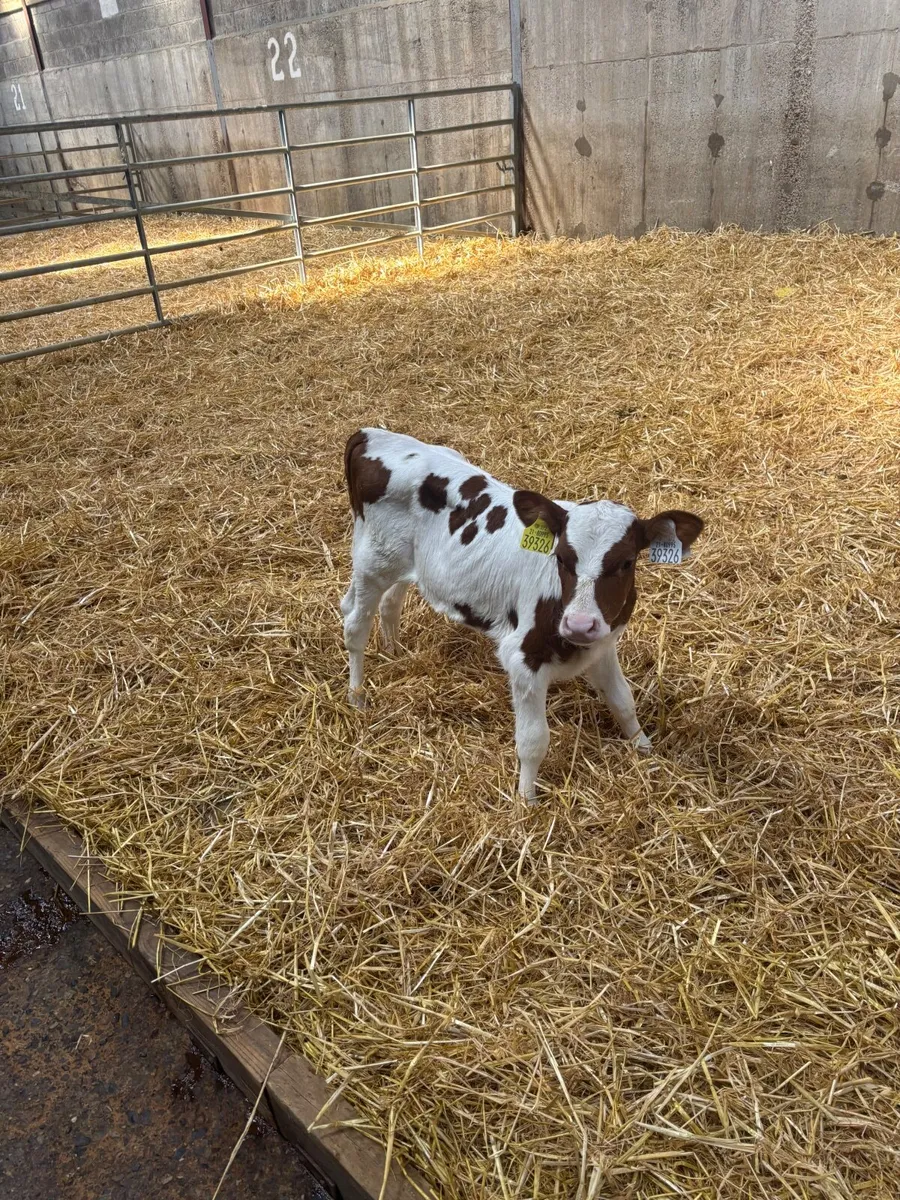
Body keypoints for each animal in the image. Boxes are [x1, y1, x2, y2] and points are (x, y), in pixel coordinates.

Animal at [341, 428, 704, 801]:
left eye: (627, 562)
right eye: (561, 557)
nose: (579, 624)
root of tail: (372, 433)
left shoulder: (602, 643)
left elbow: (622, 700)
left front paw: (644, 749)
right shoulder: (523, 660)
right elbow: (533, 741)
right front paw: (526, 799)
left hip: (406, 564)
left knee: (389, 602)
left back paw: (395, 652)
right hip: (372, 564)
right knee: (354, 625)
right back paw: (357, 695)